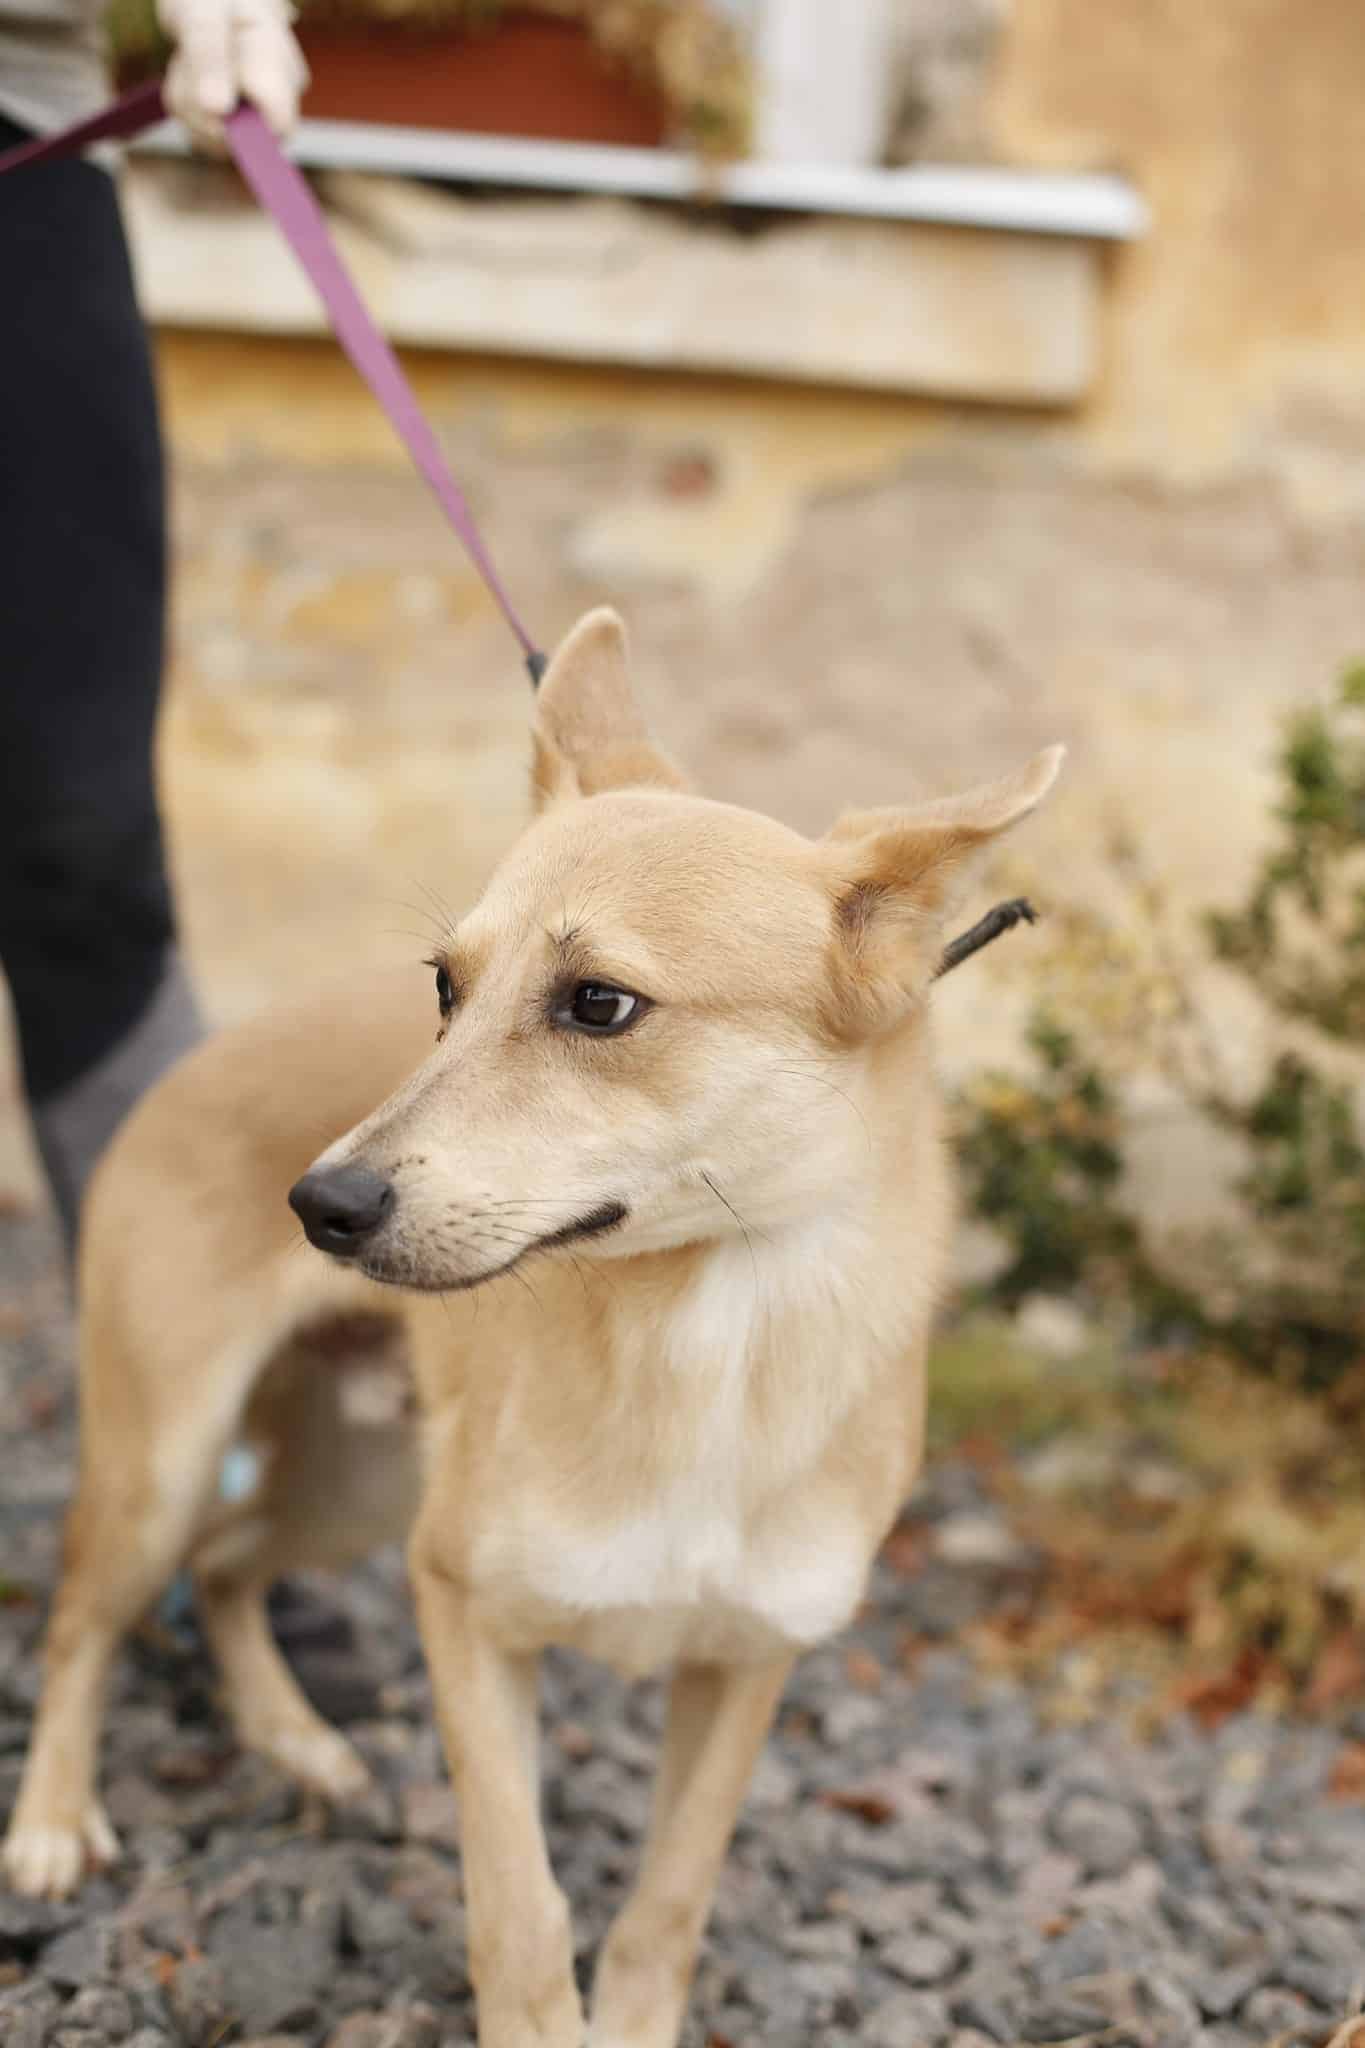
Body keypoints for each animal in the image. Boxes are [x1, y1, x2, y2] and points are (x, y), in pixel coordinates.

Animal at [3, 609, 1062, 2046]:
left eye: (598, 1002)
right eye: (445, 987)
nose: (320, 1204)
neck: (710, 1337)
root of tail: (203, 1055)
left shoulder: (748, 1663)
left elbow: (664, 1909)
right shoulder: (466, 1614)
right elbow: (521, 1908)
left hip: (363, 1482)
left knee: (228, 1565)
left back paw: (295, 1738)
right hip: (168, 1462)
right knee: (85, 1618)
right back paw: (54, 1822)